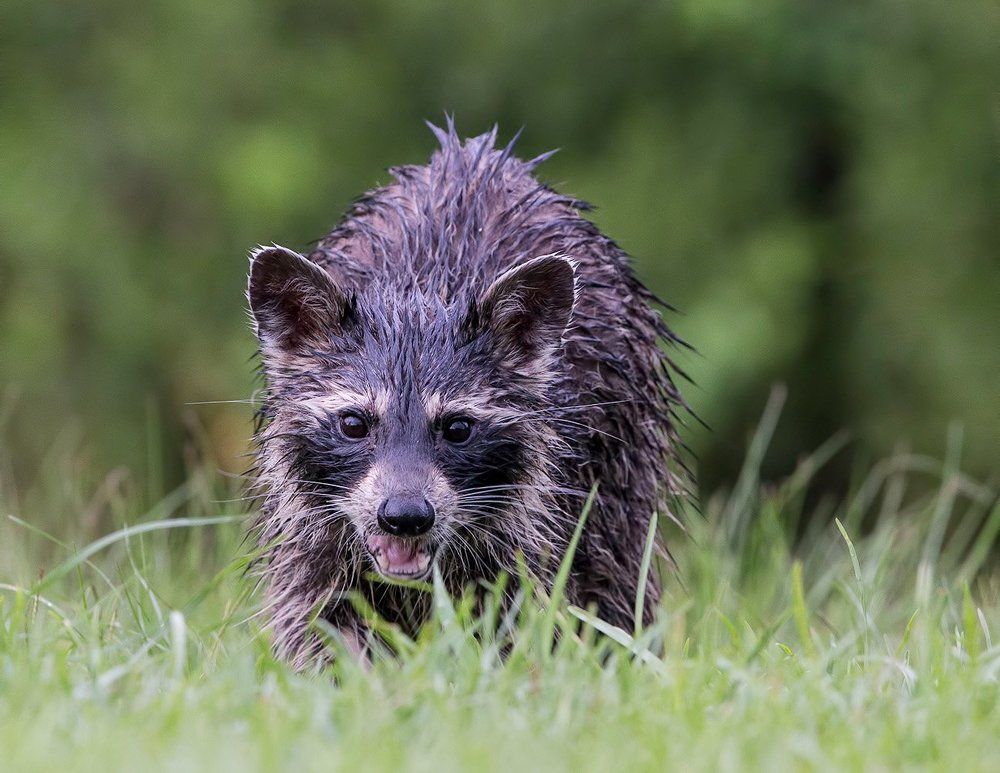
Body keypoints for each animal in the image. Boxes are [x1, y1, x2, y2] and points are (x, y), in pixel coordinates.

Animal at [247, 122, 688, 667]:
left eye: (457, 428)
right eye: (354, 423)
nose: (405, 517)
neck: (422, 296)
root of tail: (475, 154)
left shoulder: (532, 526)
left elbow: (518, 617)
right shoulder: (312, 537)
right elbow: (319, 617)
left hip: (624, 463)